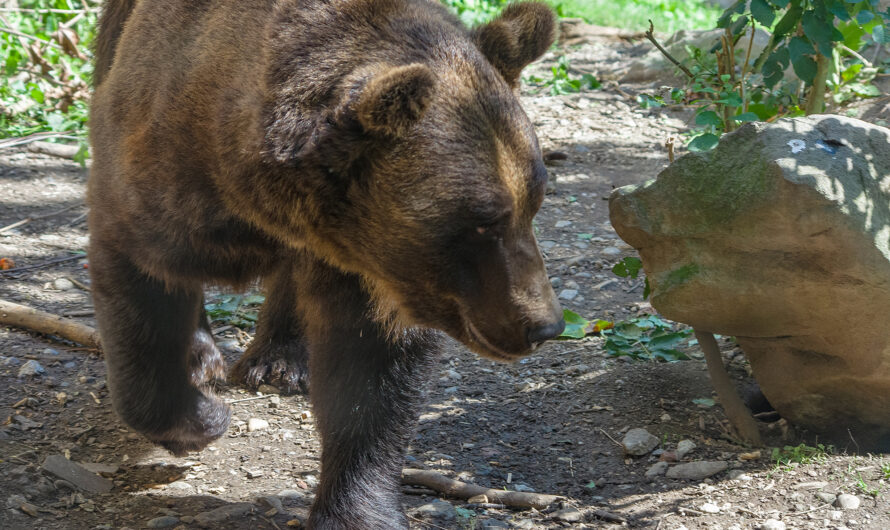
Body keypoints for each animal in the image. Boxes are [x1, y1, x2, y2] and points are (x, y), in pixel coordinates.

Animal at [90, 0, 560, 524]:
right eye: (483, 221)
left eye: (534, 202)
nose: (543, 325)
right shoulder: (165, 169)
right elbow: (142, 287)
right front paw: (200, 417)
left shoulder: (371, 269)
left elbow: (372, 371)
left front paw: (358, 511)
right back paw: (205, 358)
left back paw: (279, 360)